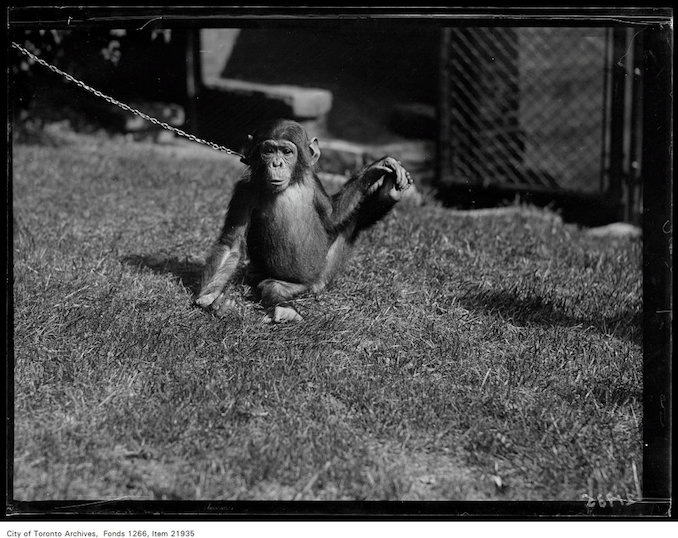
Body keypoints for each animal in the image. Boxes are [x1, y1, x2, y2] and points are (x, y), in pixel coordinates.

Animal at [194, 119, 412, 320]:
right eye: (269, 151)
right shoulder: (244, 191)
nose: (277, 163)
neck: (289, 185)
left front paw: (377, 168)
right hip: (286, 283)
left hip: (322, 273)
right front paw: (209, 297)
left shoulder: (313, 181)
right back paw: (272, 309)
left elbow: (333, 216)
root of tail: (309, 286)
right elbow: (232, 244)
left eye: (287, 152)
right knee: (271, 287)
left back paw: (388, 193)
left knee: (351, 224)